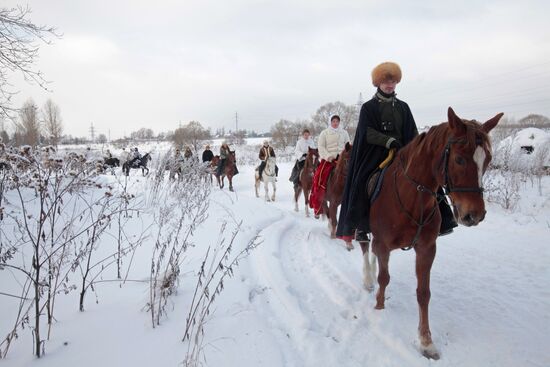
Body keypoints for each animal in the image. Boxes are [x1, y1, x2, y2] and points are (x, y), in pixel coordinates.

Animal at [366, 108, 504, 360]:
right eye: (459, 159)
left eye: (487, 160)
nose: (474, 215)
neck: (413, 199)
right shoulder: (383, 245)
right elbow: (384, 278)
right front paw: (379, 308)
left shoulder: (427, 248)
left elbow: (423, 293)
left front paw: (426, 341)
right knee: (364, 248)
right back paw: (367, 278)